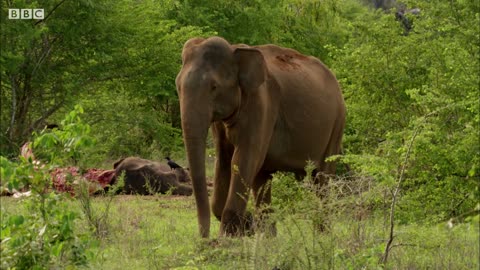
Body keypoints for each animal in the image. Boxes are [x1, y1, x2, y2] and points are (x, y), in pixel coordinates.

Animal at [175, 37, 344, 237]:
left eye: (214, 87)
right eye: (178, 86)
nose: (204, 238)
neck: (234, 50)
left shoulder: (262, 105)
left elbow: (242, 159)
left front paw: (228, 238)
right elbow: (223, 161)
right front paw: (245, 225)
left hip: (337, 124)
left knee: (322, 178)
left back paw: (322, 236)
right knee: (263, 177)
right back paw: (270, 237)